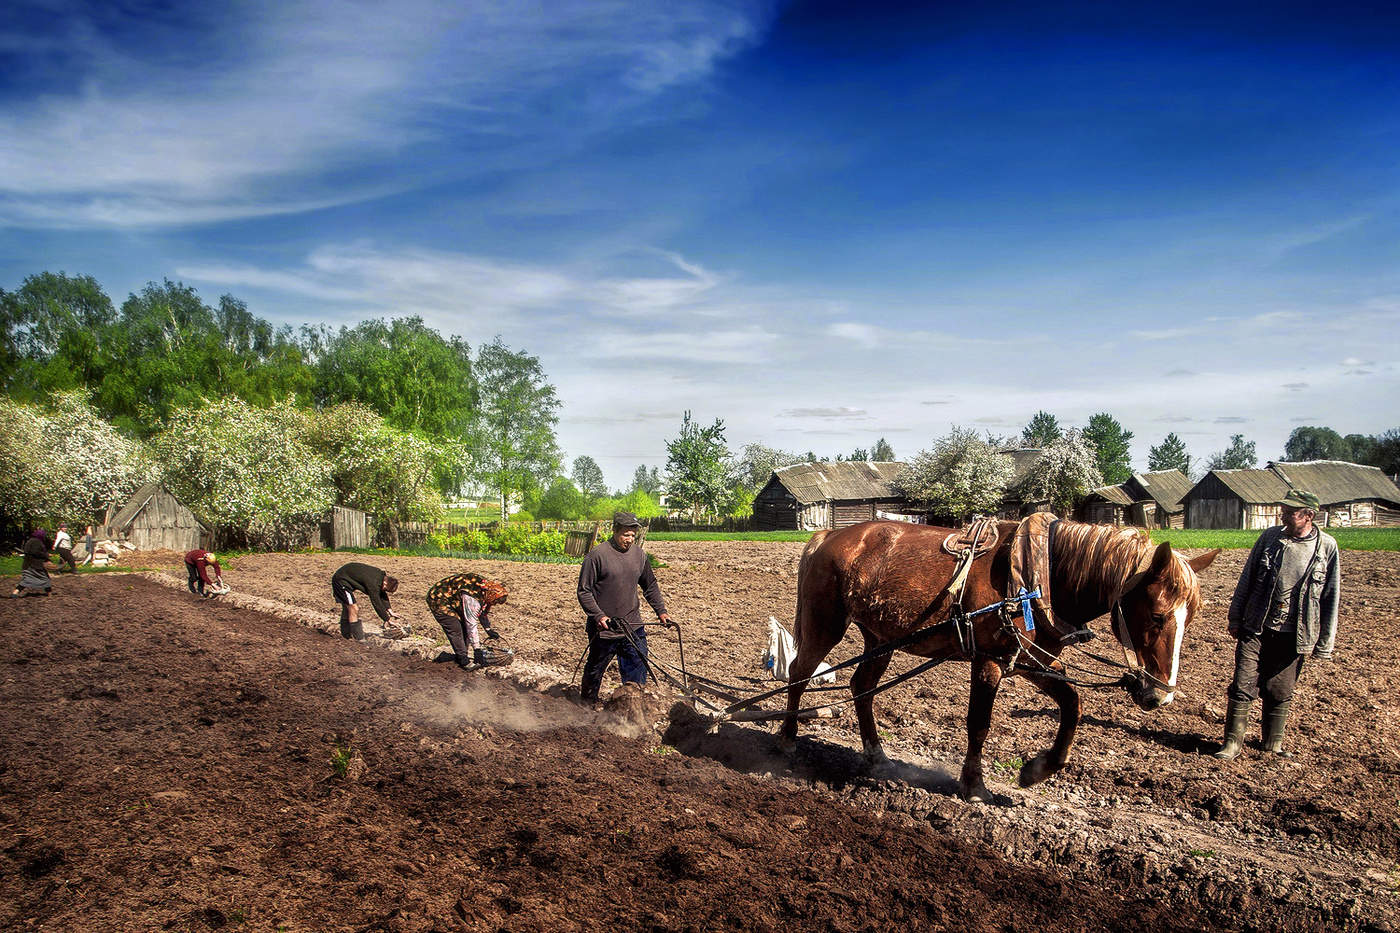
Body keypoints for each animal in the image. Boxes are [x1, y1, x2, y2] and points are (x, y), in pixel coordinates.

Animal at [784, 515, 1220, 801]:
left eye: (1192, 615)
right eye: (1158, 615)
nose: (1160, 695)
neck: (1038, 576)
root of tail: (829, 535)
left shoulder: (1031, 661)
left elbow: (1073, 704)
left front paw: (1038, 770)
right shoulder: (989, 660)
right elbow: (979, 723)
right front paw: (974, 785)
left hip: (880, 637)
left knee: (863, 688)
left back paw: (877, 757)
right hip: (826, 623)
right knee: (799, 672)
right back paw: (787, 740)